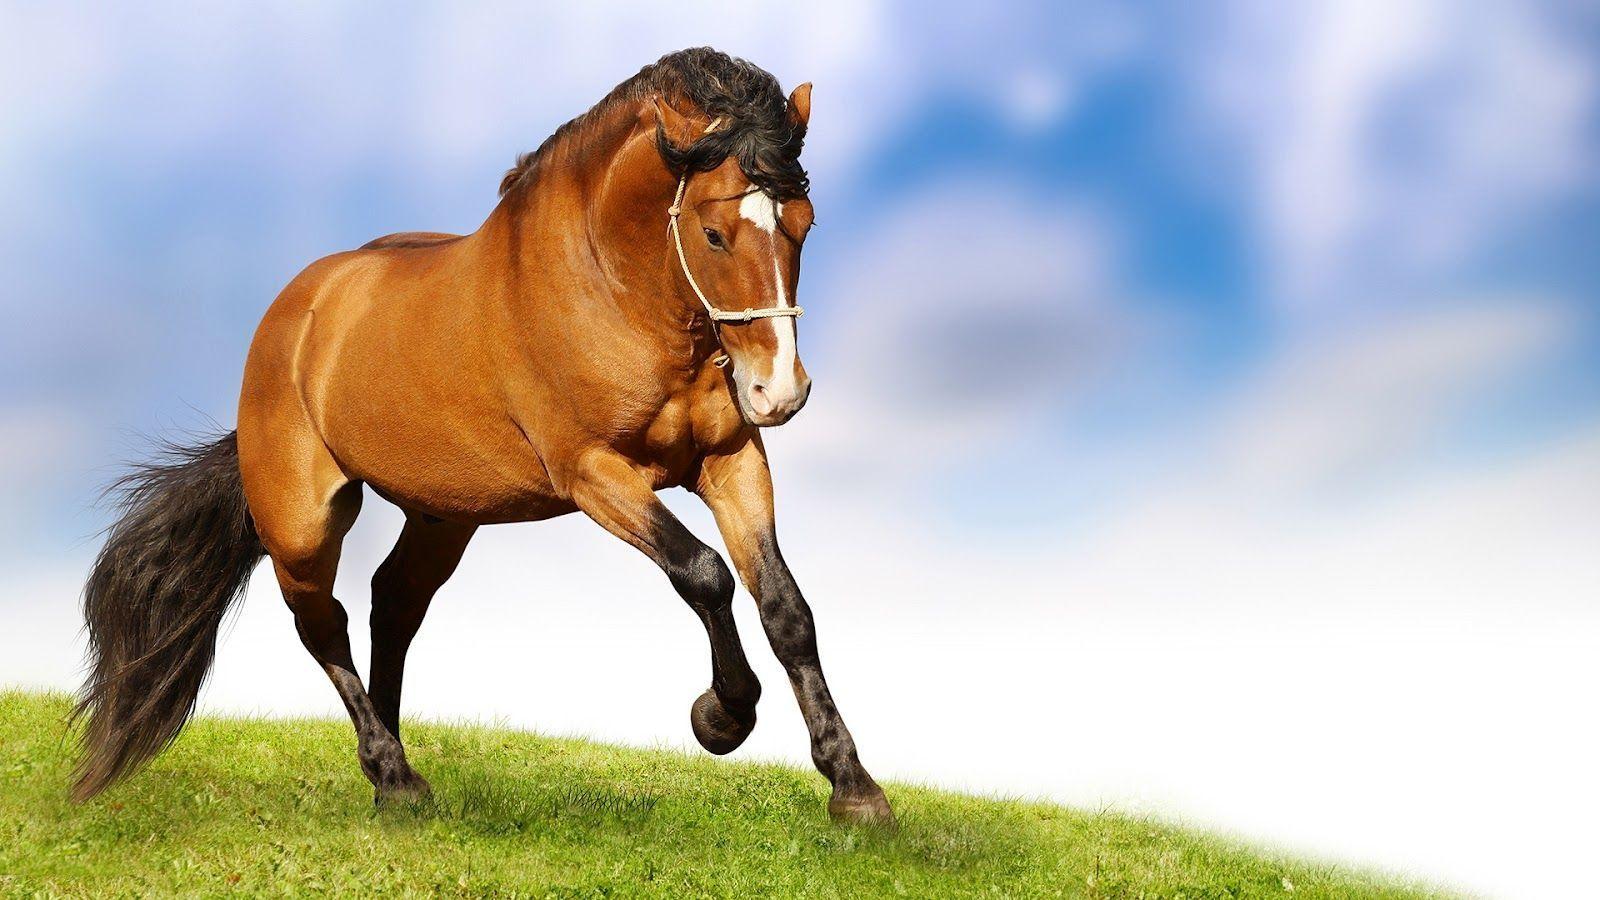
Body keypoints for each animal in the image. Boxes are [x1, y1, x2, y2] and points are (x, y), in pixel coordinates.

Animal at [71, 47, 893, 827]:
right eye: (715, 233)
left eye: (804, 224)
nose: (778, 392)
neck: (613, 290)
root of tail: (294, 315)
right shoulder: (595, 473)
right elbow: (704, 573)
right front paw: (721, 717)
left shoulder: (729, 461)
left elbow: (786, 609)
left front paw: (855, 790)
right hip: (302, 523)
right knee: (323, 625)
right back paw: (395, 777)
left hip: (443, 514)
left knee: (393, 606)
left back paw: (391, 773)